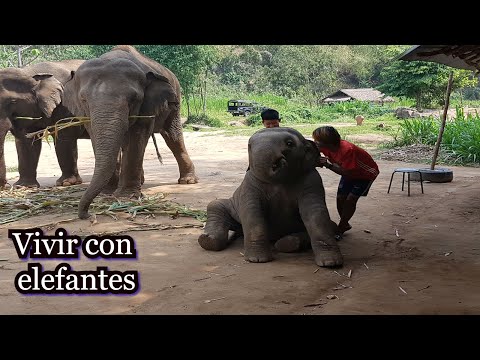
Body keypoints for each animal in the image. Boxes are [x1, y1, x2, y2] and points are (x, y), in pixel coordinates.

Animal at [0, 58, 85, 188]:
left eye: (13, 102)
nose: (5, 185)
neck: (30, 72)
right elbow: (27, 141)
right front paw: (24, 186)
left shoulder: (65, 105)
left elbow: (63, 136)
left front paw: (66, 183)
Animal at [62, 45, 198, 219]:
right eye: (83, 99)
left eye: (134, 99)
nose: (88, 214)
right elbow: (96, 137)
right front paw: (107, 193)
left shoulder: (147, 105)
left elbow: (136, 137)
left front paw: (126, 197)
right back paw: (141, 181)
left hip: (176, 101)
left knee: (173, 138)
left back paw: (188, 181)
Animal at [198, 126, 342, 268]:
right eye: (249, 146)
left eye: (289, 143)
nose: (280, 160)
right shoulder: (250, 184)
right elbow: (252, 212)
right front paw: (257, 260)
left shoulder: (312, 180)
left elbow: (315, 212)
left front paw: (330, 263)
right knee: (215, 205)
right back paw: (207, 240)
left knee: (332, 226)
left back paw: (288, 244)